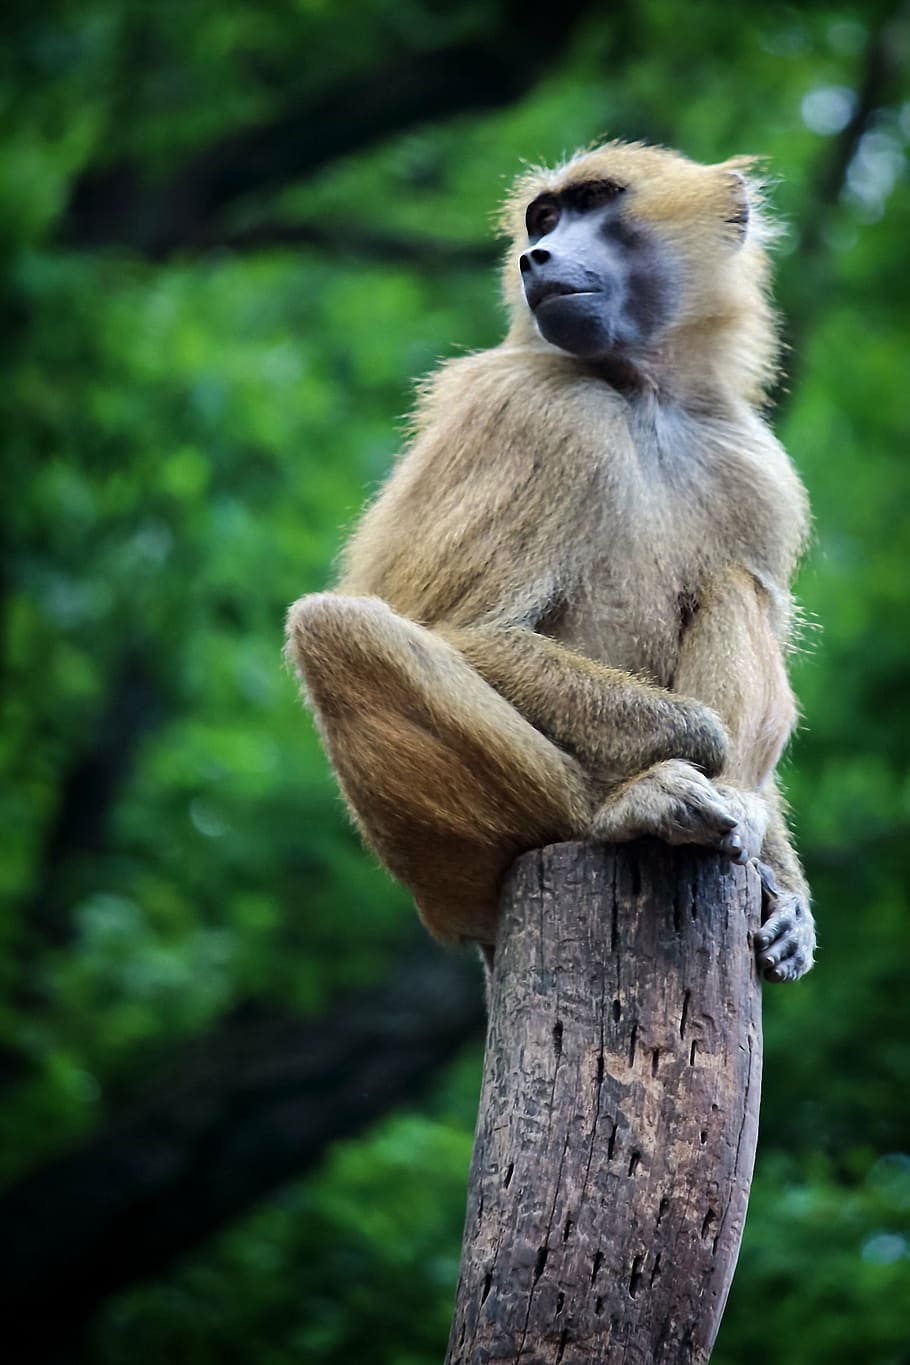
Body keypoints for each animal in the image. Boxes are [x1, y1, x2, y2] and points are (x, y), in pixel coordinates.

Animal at [286, 140, 816, 984]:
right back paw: (622, 810)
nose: (535, 257)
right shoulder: (543, 415)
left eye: (595, 202)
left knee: (737, 583)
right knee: (333, 628)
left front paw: (787, 895)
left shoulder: (760, 471)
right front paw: (703, 748)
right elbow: (467, 631)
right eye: (544, 217)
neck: (641, 392)